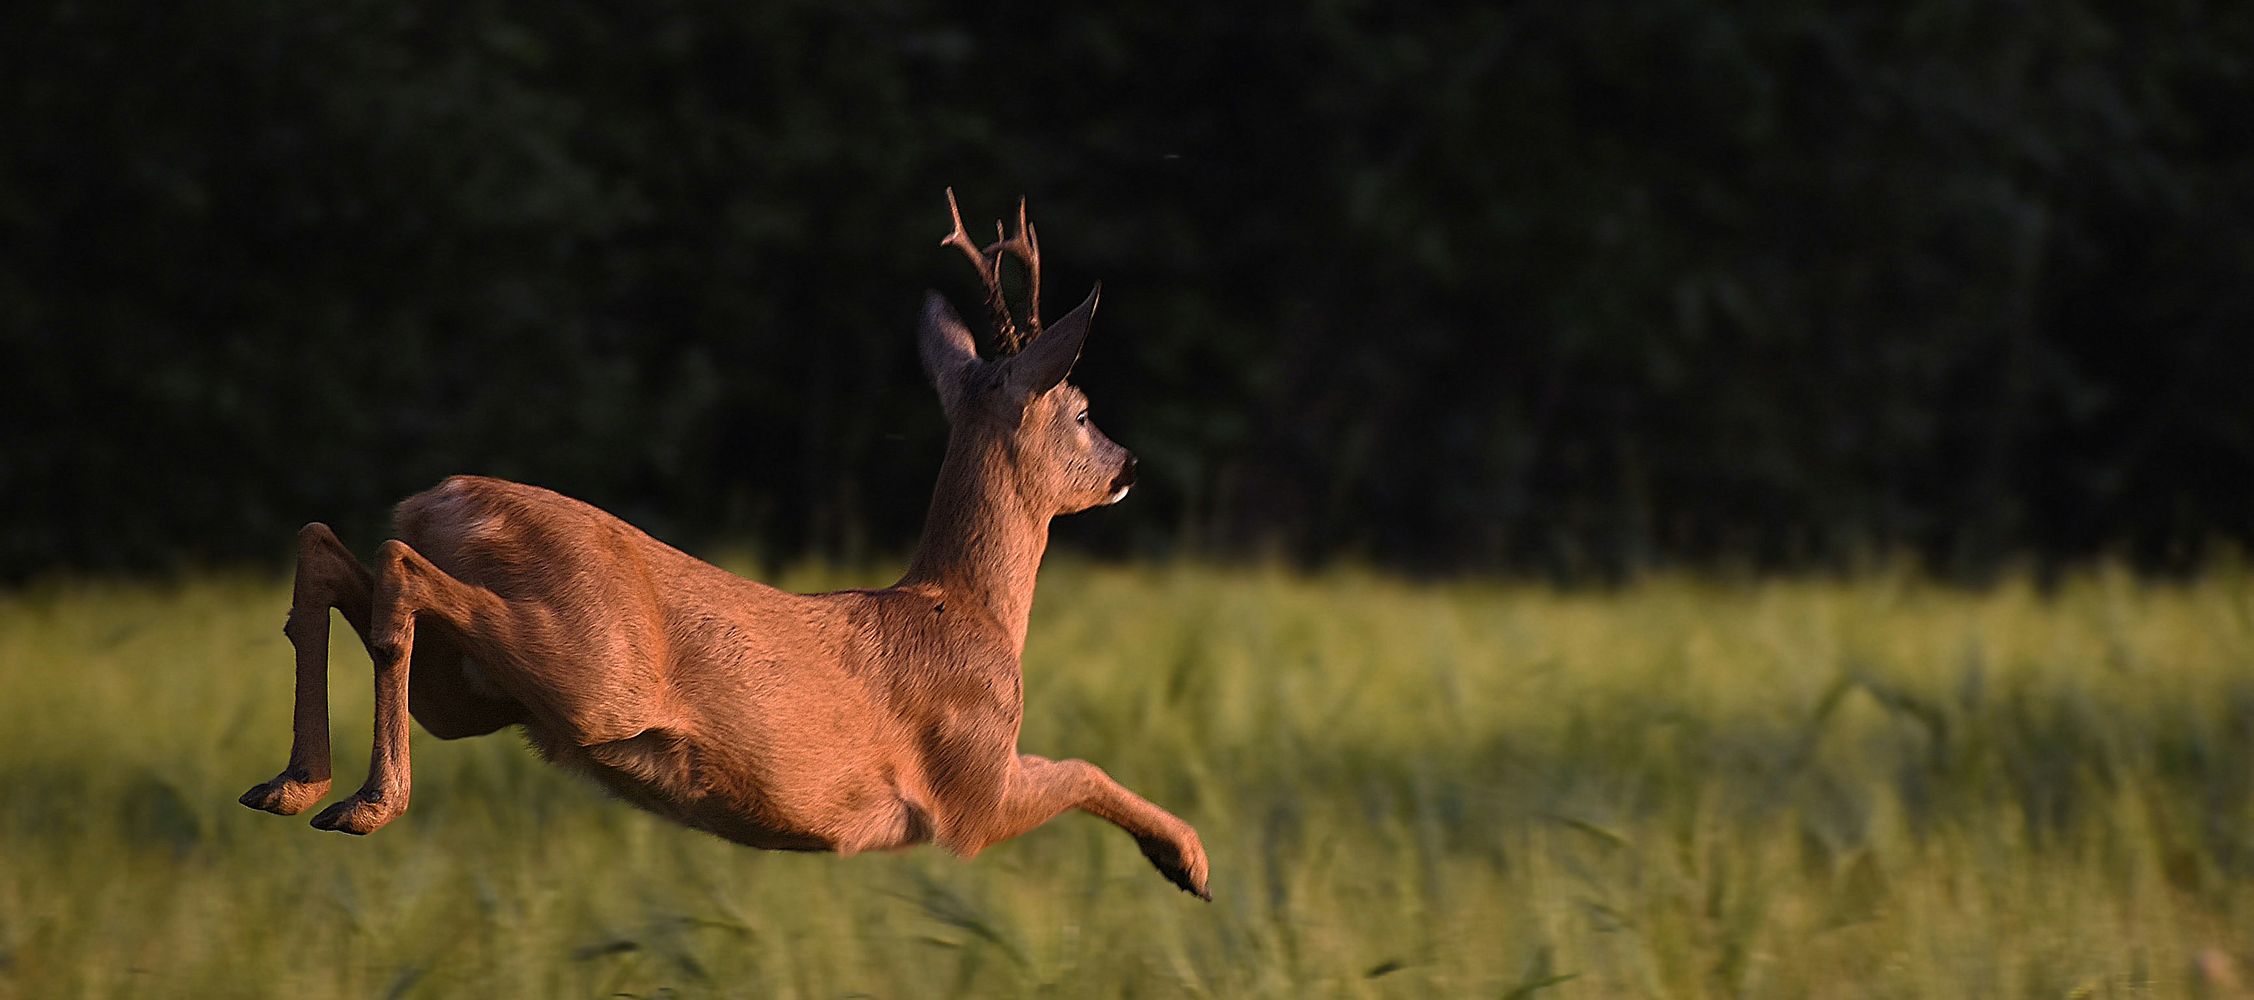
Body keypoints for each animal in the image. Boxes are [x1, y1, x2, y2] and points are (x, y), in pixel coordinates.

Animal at [236, 190, 1210, 900]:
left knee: (329, 548)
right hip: (591, 670)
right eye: (1081, 410)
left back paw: (291, 786)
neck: (972, 612)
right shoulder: (966, 792)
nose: (1129, 464)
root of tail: (441, 501)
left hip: (474, 692)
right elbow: (1081, 768)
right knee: (397, 568)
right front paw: (1189, 861)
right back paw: (365, 802)